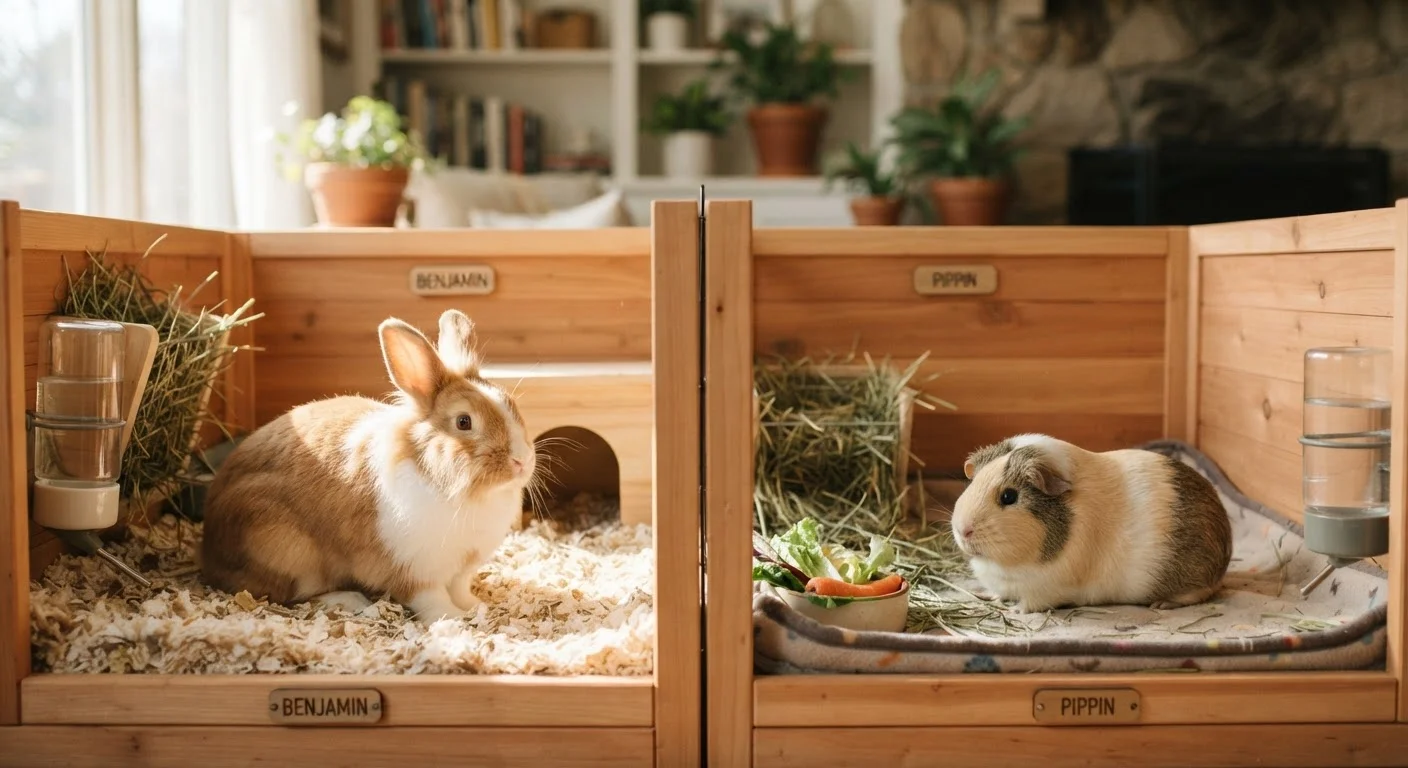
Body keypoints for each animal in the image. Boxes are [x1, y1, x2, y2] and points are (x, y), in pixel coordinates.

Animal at [198, 309, 539, 622]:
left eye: (512, 404)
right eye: (464, 422)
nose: (522, 461)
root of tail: (208, 555)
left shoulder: (460, 570)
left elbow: (461, 589)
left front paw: (476, 607)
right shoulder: (416, 572)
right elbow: (432, 600)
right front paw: (453, 618)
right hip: (285, 549)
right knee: (288, 594)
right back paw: (350, 600)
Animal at [949, 433, 1233, 614]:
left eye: (1009, 496)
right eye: (973, 483)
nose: (963, 530)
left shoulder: (1045, 589)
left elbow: (1031, 605)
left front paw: (1015, 611)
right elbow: (1001, 593)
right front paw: (990, 597)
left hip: (1194, 583)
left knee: (1198, 594)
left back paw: (1162, 605)